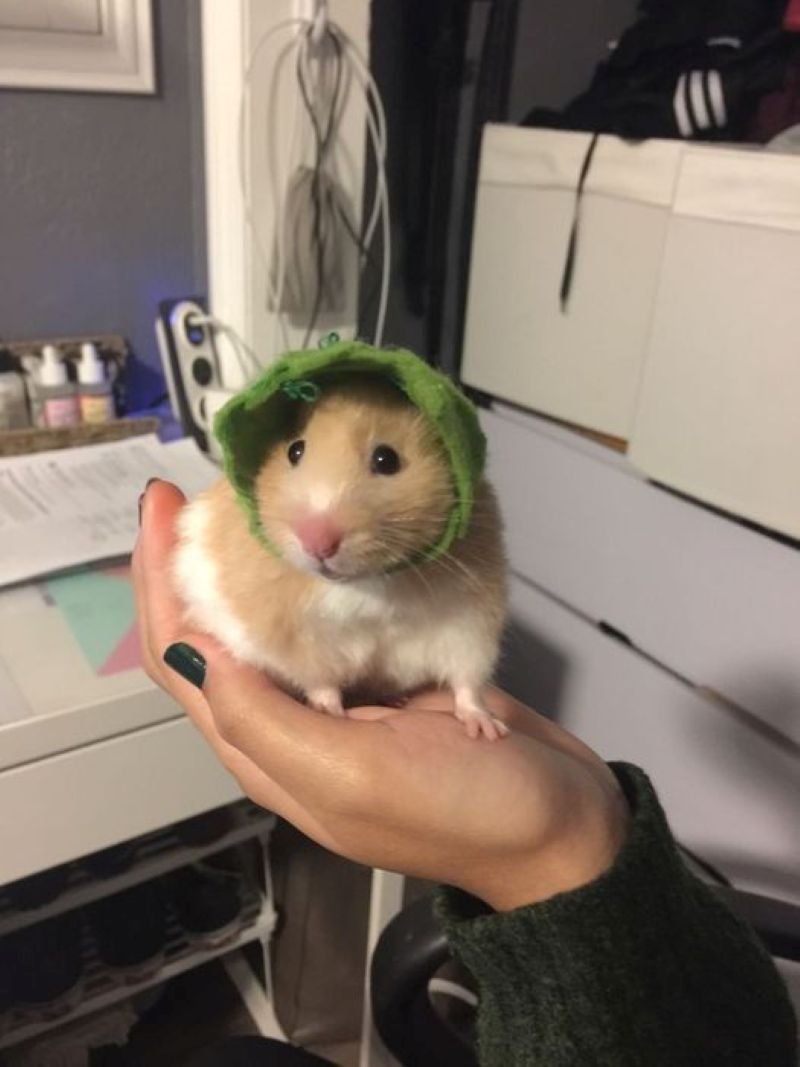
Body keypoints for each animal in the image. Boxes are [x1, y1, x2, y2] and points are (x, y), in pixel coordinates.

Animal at [173, 376, 508, 739]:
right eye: (294, 451)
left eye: (386, 459)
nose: (316, 542)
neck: (368, 584)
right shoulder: (298, 637)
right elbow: (319, 679)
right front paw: (328, 711)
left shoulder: (469, 621)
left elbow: (468, 682)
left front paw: (487, 730)